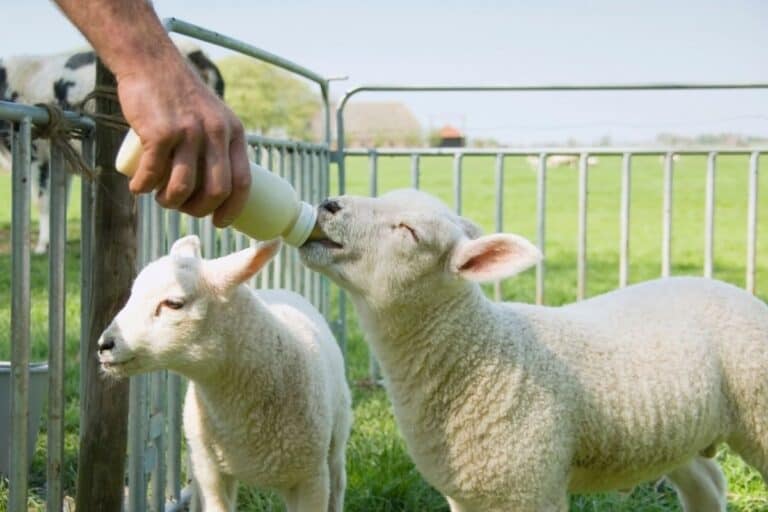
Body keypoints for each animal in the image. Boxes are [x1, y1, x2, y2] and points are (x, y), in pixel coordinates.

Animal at [97, 236, 352, 512]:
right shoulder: (211, 472)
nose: (104, 345)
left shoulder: (311, 478)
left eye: (173, 304)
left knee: (338, 482)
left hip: (335, 439)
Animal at [299, 188, 768, 512]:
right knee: (708, 483)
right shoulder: (466, 494)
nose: (329, 204)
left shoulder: (532, 486)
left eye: (409, 232)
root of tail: (729, 288)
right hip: (677, 435)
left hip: (757, 412)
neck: (474, 355)